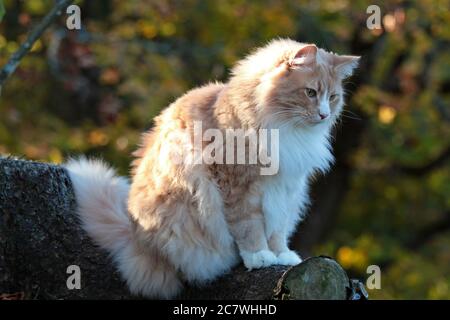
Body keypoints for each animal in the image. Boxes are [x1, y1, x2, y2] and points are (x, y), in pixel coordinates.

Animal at [65, 38, 358, 298]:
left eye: (333, 97)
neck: (283, 128)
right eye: (310, 92)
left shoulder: (286, 189)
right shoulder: (237, 183)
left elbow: (277, 228)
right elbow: (249, 225)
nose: (324, 115)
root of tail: (135, 240)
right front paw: (259, 256)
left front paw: (282, 255)